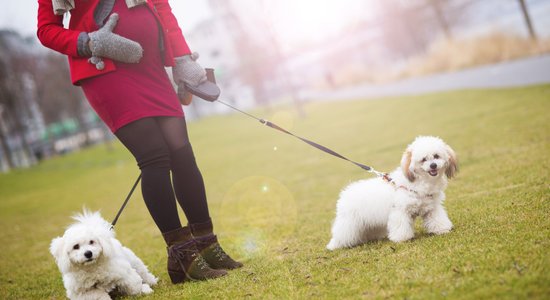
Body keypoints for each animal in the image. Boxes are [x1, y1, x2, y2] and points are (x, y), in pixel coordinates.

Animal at [328, 135, 462, 248]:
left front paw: (442, 229)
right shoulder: (400, 211)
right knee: (342, 233)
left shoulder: (432, 208)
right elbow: (401, 226)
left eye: (436, 156)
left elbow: (437, 219)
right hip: (348, 222)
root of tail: (347, 191)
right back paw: (334, 245)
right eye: (424, 159)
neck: (421, 182)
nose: (433, 165)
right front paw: (402, 238)